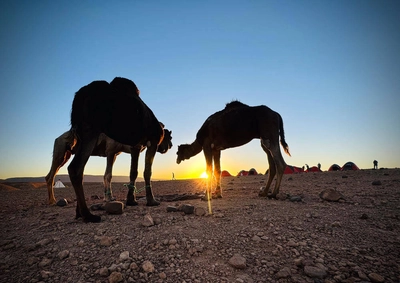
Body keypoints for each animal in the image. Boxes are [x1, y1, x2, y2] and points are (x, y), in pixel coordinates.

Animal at [67, 76, 170, 223]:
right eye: (169, 137)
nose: (168, 147)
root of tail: (79, 96)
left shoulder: (136, 146)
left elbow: (133, 172)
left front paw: (131, 200)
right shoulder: (152, 142)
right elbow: (146, 172)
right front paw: (151, 201)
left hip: (81, 133)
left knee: (80, 167)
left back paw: (79, 213)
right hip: (90, 129)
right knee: (76, 167)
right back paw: (88, 215)